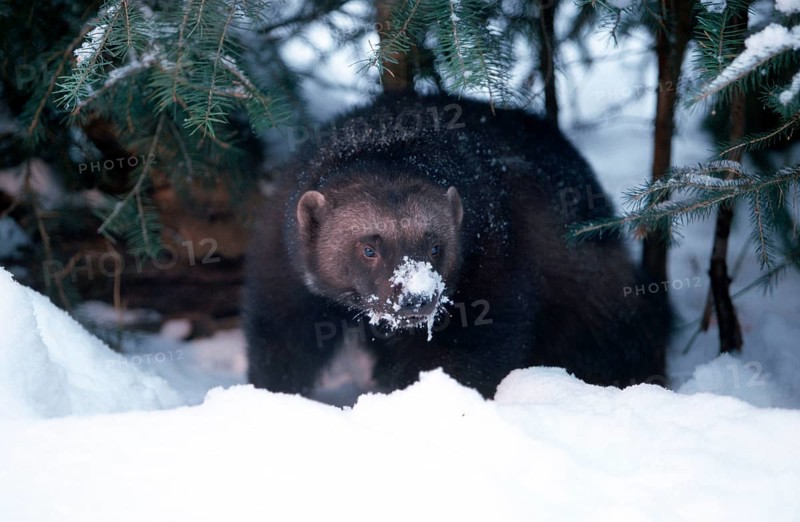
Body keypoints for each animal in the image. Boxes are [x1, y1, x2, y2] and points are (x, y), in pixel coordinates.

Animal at [243, 93, 671, 405]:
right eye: (368, 249)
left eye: (435, 246)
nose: (416, 297)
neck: (390, 139)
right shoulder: (282, 262)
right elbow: (280, 337)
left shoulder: (492, 259)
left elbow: (467, 351)